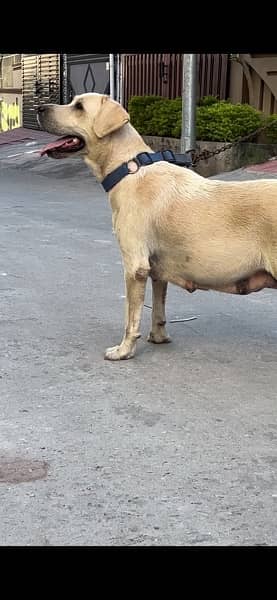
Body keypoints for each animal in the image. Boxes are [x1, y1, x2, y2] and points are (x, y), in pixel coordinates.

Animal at [37, 91, 276, 358]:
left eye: (78, 107)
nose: (39, 108)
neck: (128, 168)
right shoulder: (158, 269)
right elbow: (157, 308)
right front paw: (158, 337)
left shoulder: (135, 266)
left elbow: (131, 316)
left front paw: (124, 350)